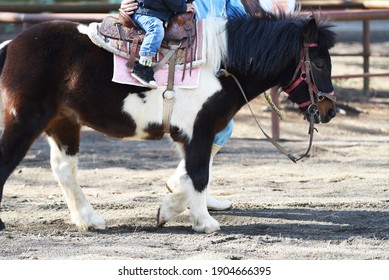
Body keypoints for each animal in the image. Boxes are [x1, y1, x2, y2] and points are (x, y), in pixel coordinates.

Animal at [0, 9, 334, 233]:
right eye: (318, 63)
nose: (329, 110)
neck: (221, 66)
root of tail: (11, 45)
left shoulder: (193, 136)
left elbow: (189, 176)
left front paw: (167, 209)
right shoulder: (198, 132)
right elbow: (198, 175)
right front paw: (204, 222)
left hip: (63, 123)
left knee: (64, 170)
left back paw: (89, 220)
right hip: (25, 122)